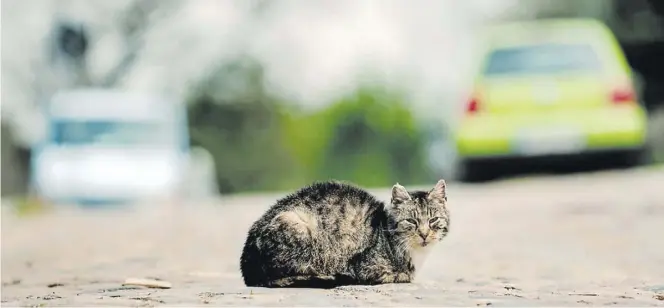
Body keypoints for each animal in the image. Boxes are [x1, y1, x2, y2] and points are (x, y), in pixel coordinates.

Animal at [239, 179, 452, 288]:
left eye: (433, 221)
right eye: (411, 221)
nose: (424, 234)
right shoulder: (367, 267)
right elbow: (400, 276)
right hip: (295, 224)